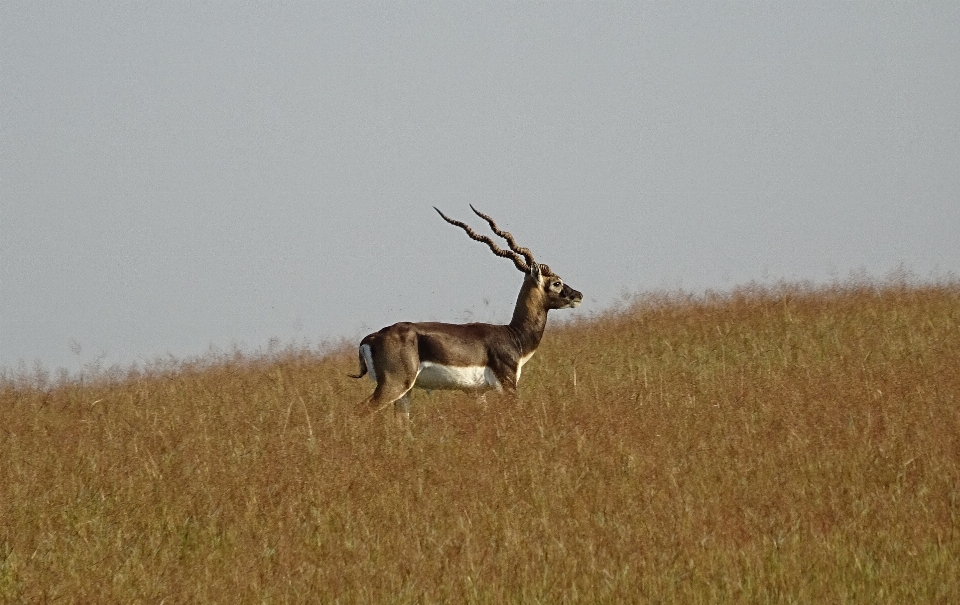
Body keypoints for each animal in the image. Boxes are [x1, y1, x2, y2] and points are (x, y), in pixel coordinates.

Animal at [350, 205, 580, 418]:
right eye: (557, 282)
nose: (578, 295)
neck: (513, 335)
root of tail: (370, 338)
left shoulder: (477, 393)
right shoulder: (507, 386)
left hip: (405, 392)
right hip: (394, 385)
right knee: (359, 410)